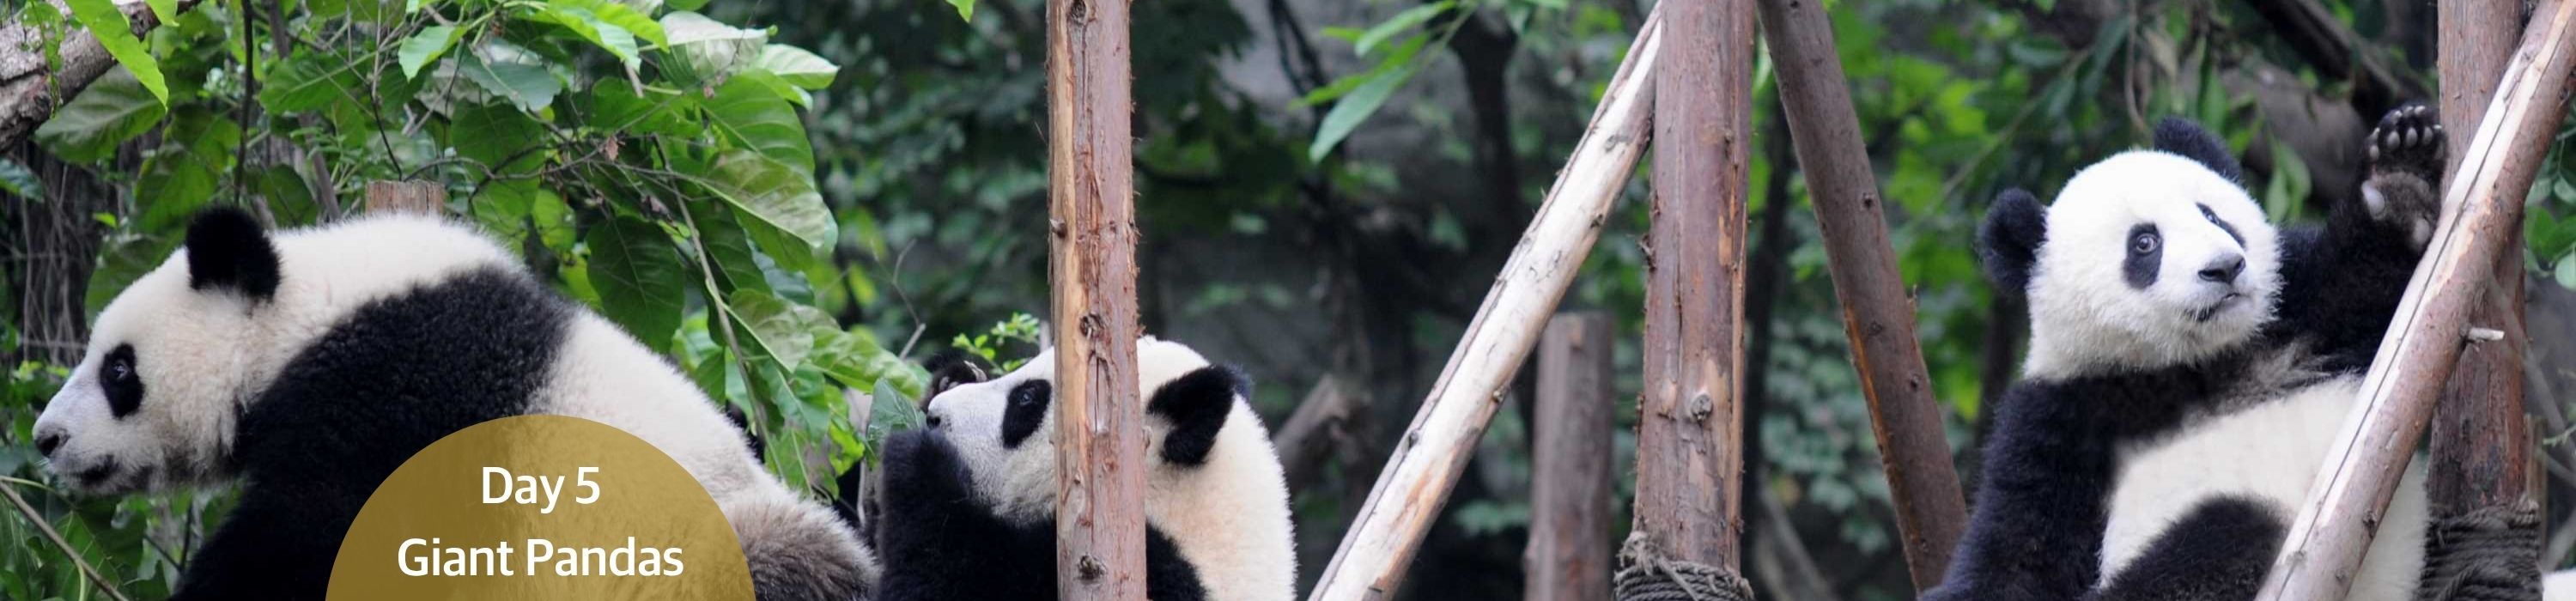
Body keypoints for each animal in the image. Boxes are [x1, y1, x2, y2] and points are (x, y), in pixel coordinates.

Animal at [29, 208, 877, 601]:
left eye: (119, 370)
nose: (45, 439)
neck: (303, 318)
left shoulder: (395, 400)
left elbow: (307, 537)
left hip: (702, 557)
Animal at [871, 337, 1297, 601]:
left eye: (1027, 399)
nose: (935, 415)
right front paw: (951, 375)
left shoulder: (1153, 571)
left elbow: (950, 580)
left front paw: (917, 459)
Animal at [1923, 105, 2446, 601]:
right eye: (2145, 242)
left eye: (2212, 216)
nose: (2225, 267)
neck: (2187, 366)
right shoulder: (2062, 417)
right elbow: (2019, 557)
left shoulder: (2300, 318)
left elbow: (2362, 285)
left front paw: (2400, 181)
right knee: (2228, 536)